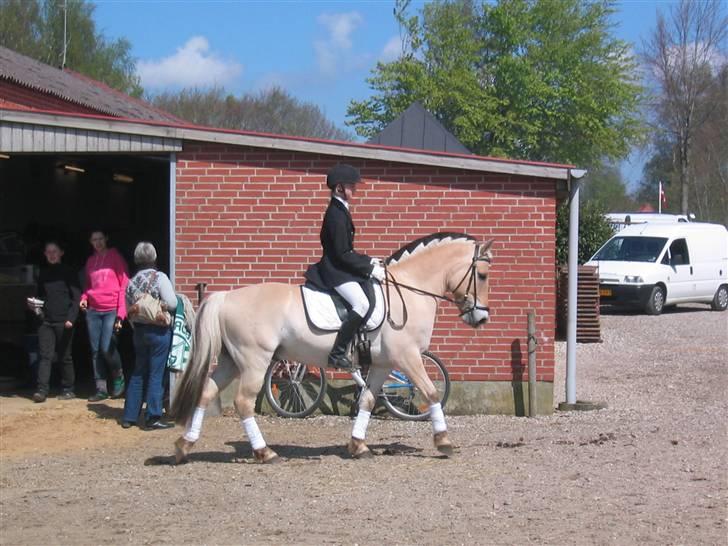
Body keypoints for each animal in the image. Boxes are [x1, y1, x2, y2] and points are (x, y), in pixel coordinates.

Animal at [171, 232, 492, 462]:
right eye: (482, 275)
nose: (481, 318)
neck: (409, 290)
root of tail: (226, 296)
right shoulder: (408, 357)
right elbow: (431, 392)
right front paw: (444, 441)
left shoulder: (383, 364)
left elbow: (367, 401)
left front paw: (358, 446)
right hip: (254, 361)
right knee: (243, 402)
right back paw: (265, 452)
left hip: (231, 361)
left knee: (207, 392)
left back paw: (184, 446)